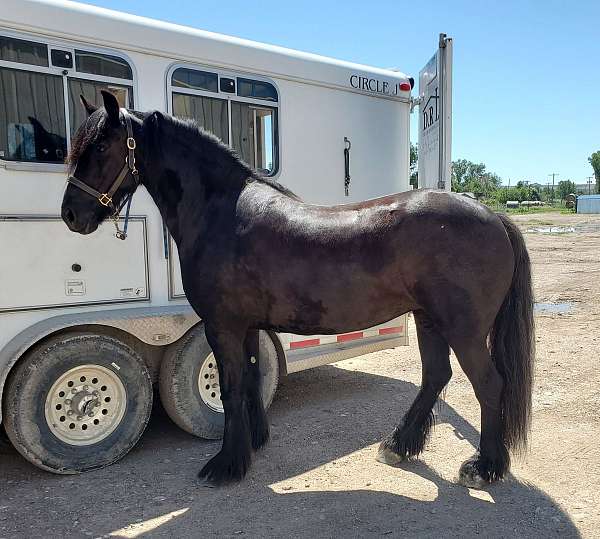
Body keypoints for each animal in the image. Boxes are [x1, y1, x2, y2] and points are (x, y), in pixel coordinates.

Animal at [61, 93, 536, 490]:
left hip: (464, 329)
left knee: (488, 384)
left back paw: (484, 467)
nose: (71, 215)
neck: (221, 213)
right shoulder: (247, 327)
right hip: (429, 319)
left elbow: (231, 388)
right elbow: (250, 381)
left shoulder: (222, 326)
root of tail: (492, 215)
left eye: (99, 148)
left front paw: (226, 465)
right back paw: (399, 446)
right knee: (436, 376)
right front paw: (253, 443)